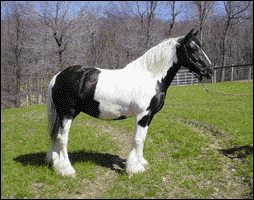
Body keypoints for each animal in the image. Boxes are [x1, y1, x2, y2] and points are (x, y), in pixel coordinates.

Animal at [45, 28, 212, 177]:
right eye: (192, 48)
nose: (209, 70)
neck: (150, 76)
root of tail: (57, 76)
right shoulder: (143, 115)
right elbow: (138, 139)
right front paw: (134, 168)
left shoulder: (150, 115)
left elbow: (142, 138)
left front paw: (141, 162)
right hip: (67, 113)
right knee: (63, 138)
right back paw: (67, 169)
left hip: (64, 114)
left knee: (56, 136)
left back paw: (55, 162)